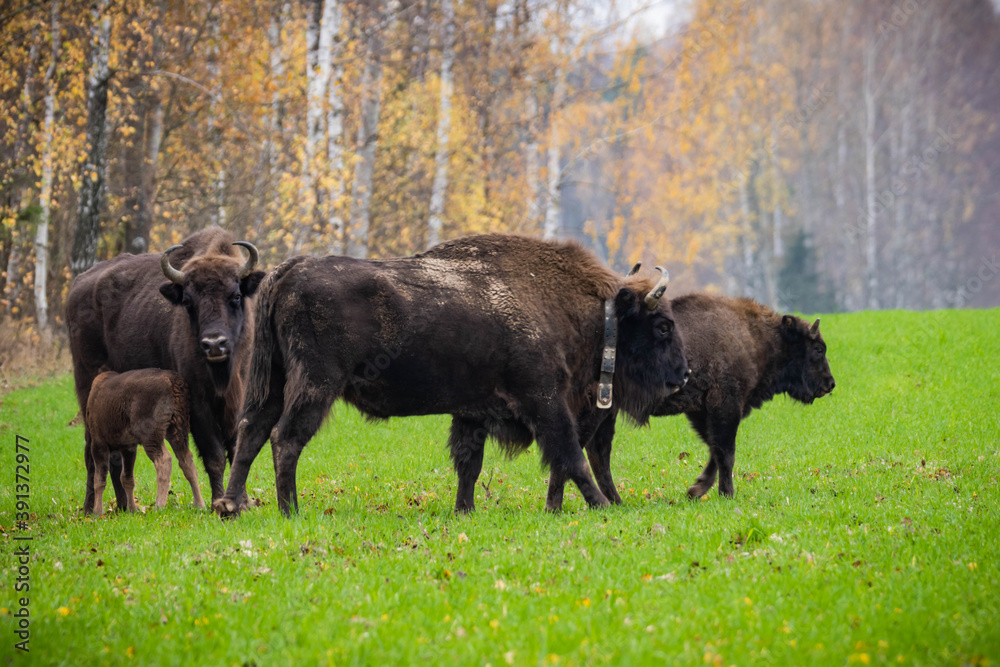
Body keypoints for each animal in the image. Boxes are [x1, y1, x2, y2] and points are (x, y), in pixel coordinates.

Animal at [86, 370, 205, 516]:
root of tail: (175, 384)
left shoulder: (98, 442)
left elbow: (99, 480)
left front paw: (97, 513)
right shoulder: (128, 446)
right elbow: (127, 478)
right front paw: (132, 510)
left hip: (151, 433)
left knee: (165, 459)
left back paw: (159, 506)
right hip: (178, 428)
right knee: (187, 460)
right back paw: (199, 504)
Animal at [215, 234, 692, 516]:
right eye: (662, 325)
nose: (684, 375)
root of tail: (285, 272)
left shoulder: (473, 412)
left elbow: (469, 464)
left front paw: (465, 510)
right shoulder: (545, 400)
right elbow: (571, 454)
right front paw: (601, 506)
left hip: (274, 381)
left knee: (251, 431)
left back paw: (231, 506)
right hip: (315, 384)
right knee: (285, 438)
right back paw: (289, 510)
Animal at [584, 292, 832, 500]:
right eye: (818, 349)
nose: (830, 384)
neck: (757, 338)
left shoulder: (701, 411)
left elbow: (714, 448)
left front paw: (696, 489)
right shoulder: (726, 405)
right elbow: (725, 451)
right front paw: (726, 493)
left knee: (598, 450)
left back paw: (615, 500)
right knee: (598, 450)